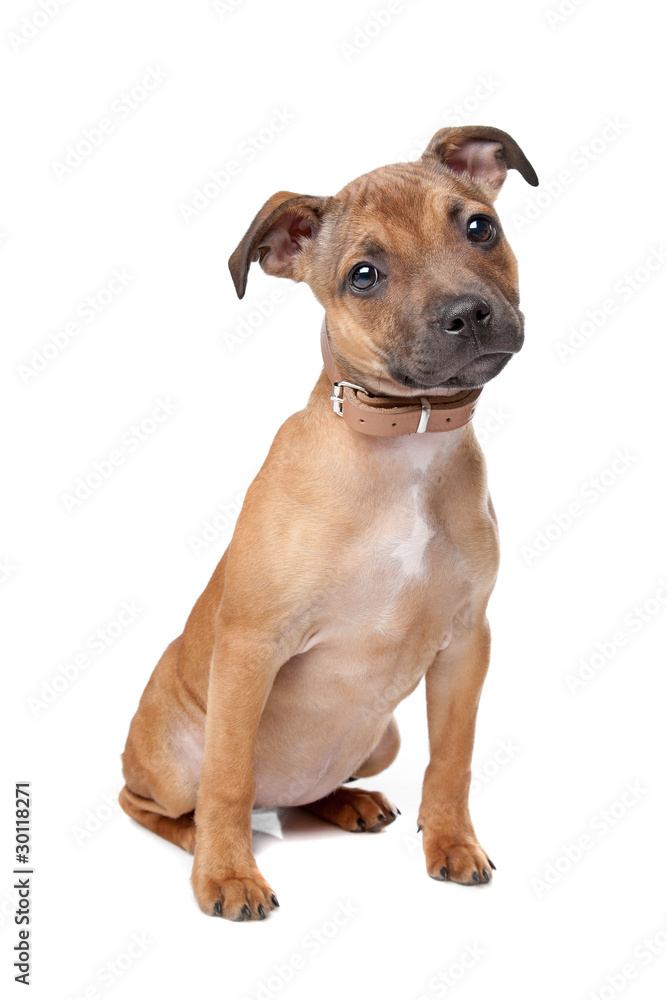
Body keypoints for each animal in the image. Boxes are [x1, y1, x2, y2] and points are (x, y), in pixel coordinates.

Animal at [119, 125, 538, 920]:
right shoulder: (252, 645)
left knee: (303, 793)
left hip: (380, 740)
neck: (407, 441)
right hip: (167, 759)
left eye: (480, 228)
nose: (468, 314)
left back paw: (347, 803)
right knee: (161, 802)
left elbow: (453, 760)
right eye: (364, 276)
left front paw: (451, 843)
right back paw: (202, 845)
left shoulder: (466, 645)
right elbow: (227, 779)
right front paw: (228, 875)